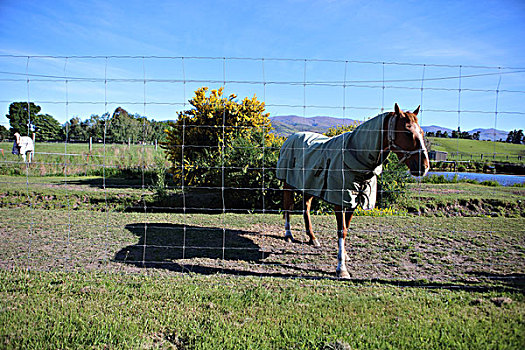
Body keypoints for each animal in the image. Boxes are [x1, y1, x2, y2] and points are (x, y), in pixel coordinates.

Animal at [276, 102, 428, 278]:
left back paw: (312, 238)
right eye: (407, 131)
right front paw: (341, 269)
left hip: (309, 184)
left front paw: (344, 255)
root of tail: (290, 138)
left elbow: (346, 228)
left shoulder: (352, 202)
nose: (424, 167)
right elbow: (341, 230)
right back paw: (288, 235)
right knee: (288, 207)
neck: (355, 156)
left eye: (422, 132)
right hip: (288, 184)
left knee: (305, 209)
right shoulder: (340, 201)